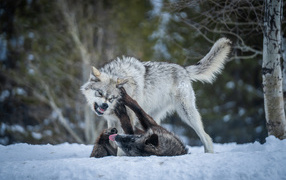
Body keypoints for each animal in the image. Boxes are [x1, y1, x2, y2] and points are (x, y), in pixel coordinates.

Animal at [81, 37, 232, 153]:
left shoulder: (128, 119)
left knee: (206, 136)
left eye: (111, 98)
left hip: (187, 114)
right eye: (100, 93)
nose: (105, 106)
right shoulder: (111, 121)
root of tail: (183, 68)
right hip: (154, 115)